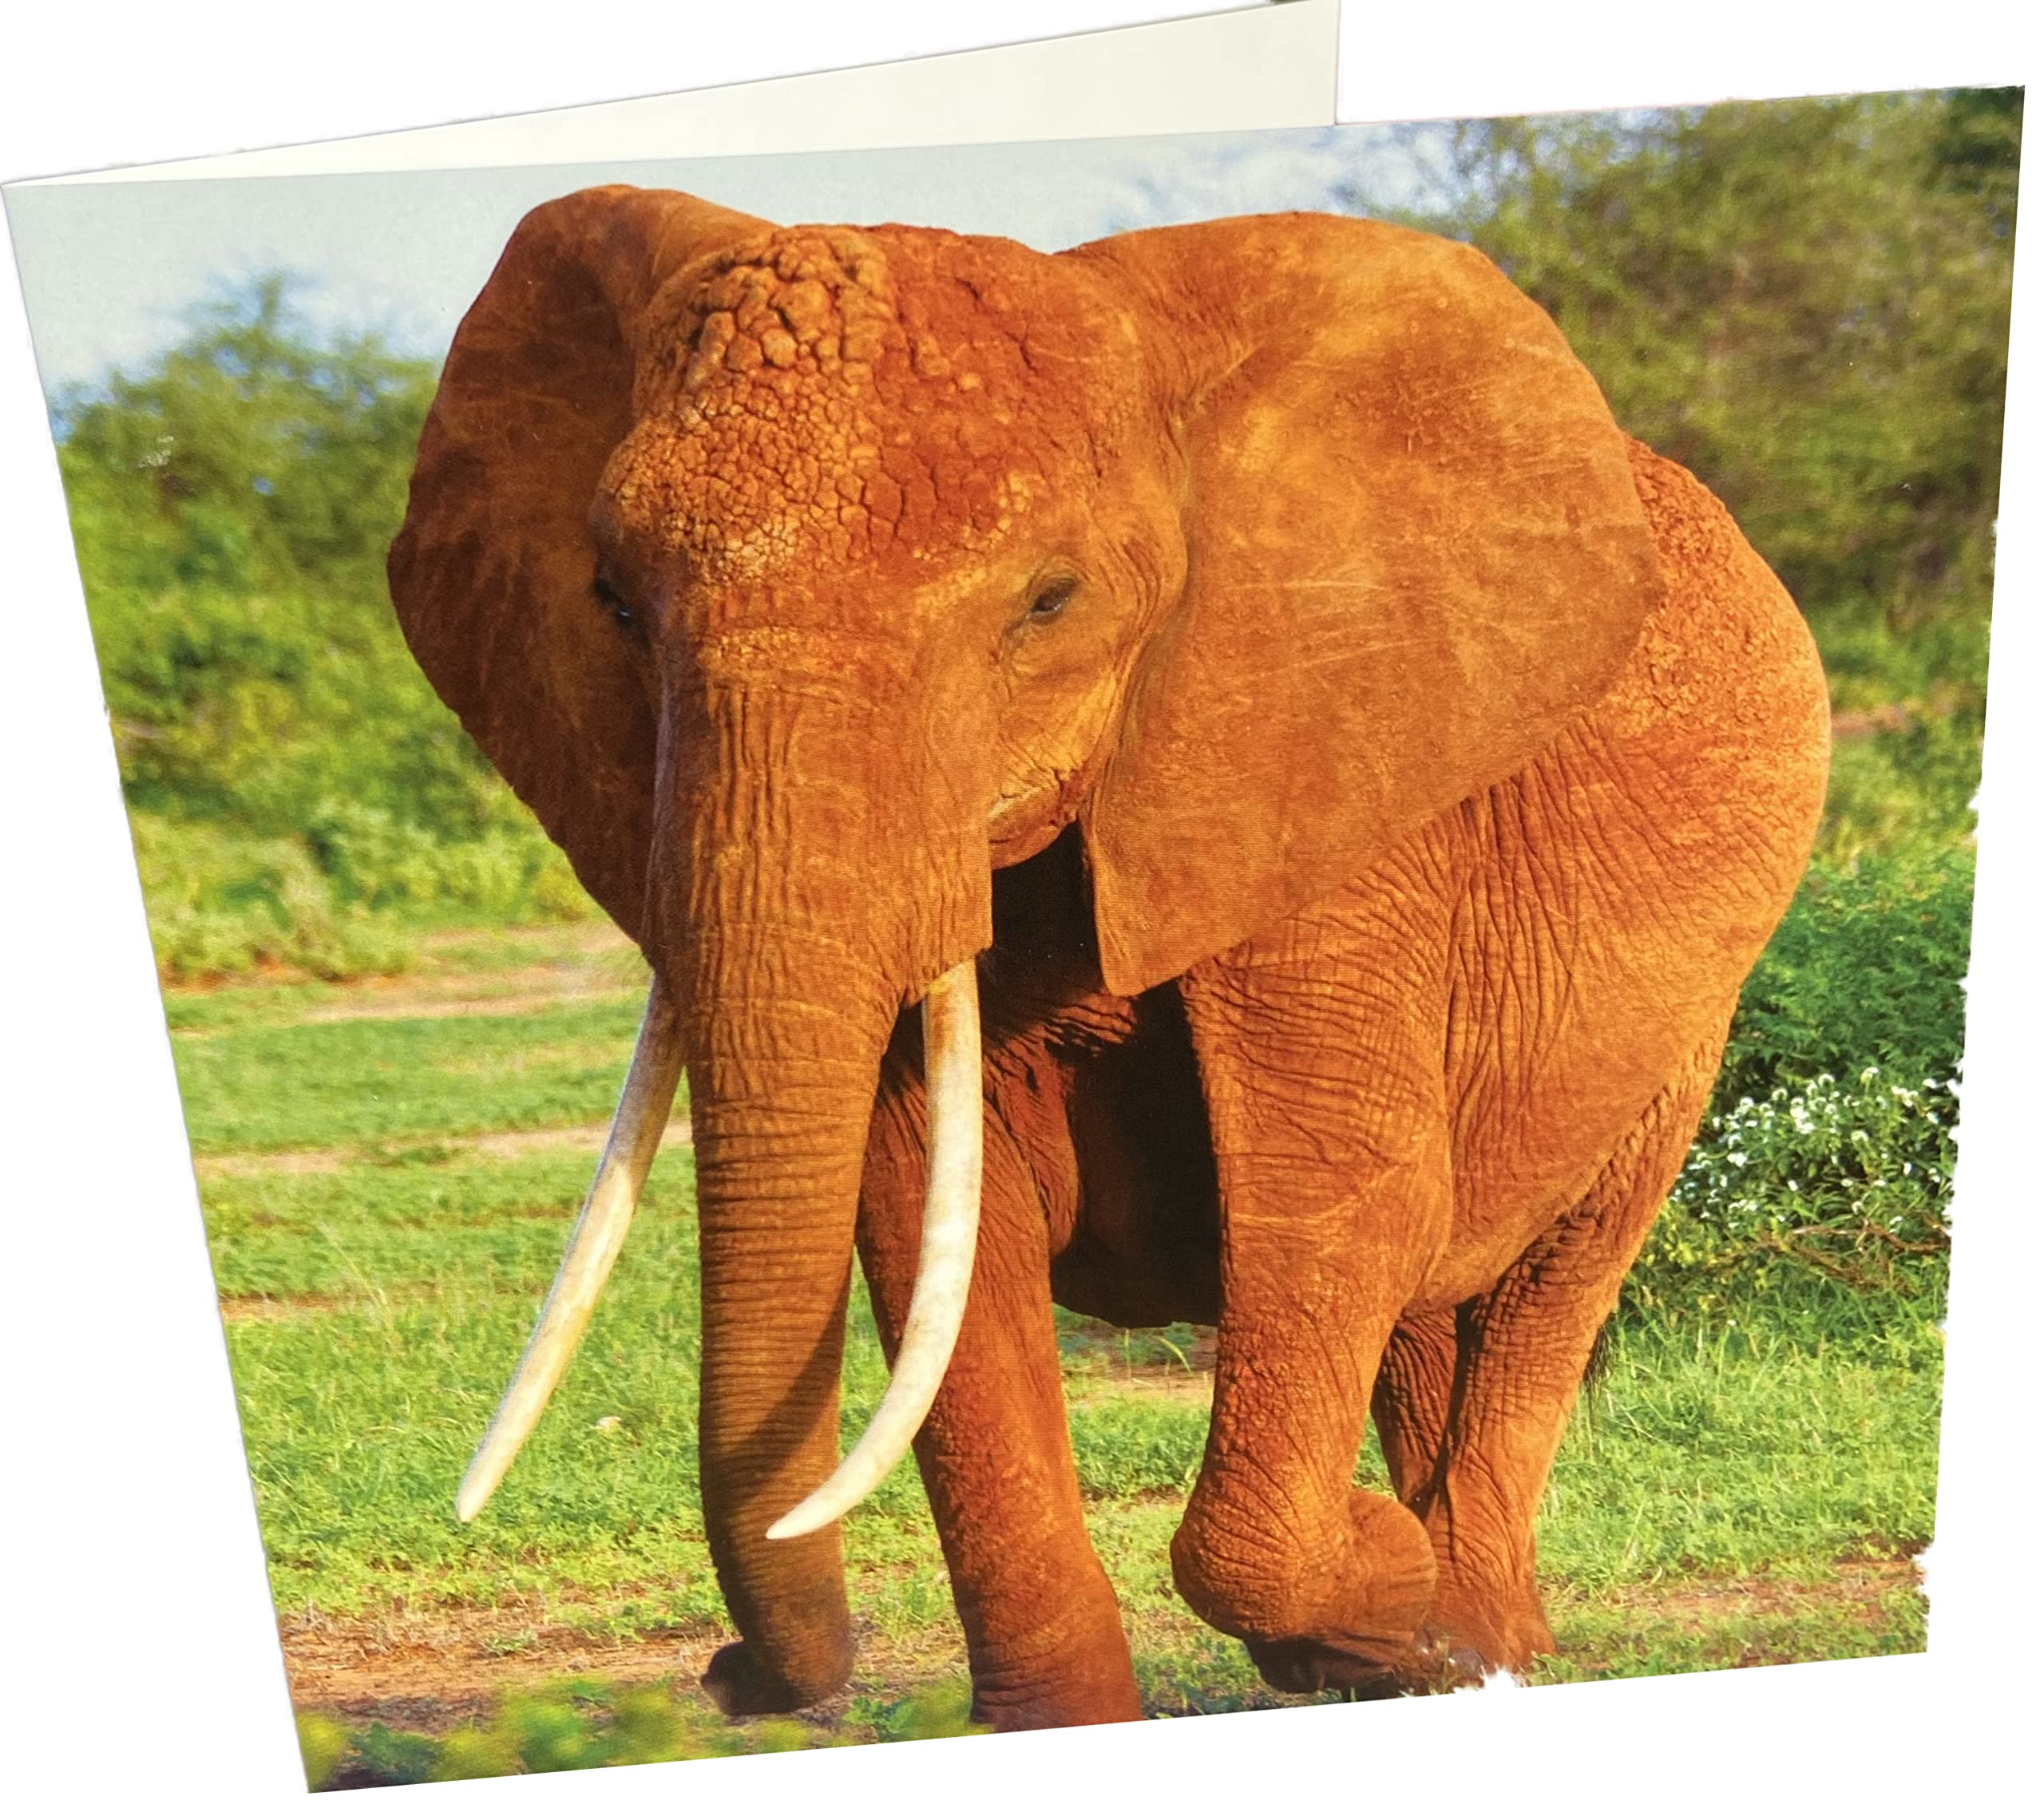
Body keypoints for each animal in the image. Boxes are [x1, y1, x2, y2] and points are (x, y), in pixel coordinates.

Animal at [386, 183, 1830, 1733]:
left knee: (1546, 1285)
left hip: (1695, 1013)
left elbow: (1342, 1206)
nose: (729, 1680)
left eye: (1049, 603)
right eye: (610, 602)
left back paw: (1472, 1636)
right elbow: (931, 1227)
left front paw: (1375, 1598)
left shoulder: (1326, 767)